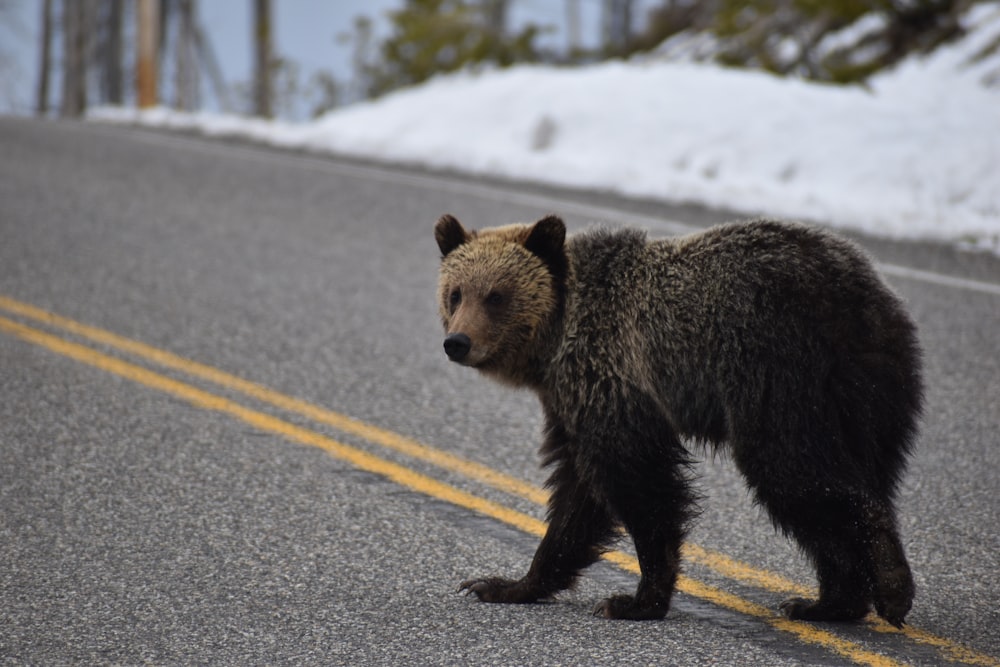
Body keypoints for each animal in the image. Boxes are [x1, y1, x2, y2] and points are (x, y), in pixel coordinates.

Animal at [434, 213, 924, 628]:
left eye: (496, 296)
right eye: (455, 292)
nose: (457, 342)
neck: (554, 340)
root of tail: (865, 293)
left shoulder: (611, 373)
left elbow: (638, 483)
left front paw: (634, 600)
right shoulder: (571, 402)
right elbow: (578, 497)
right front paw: (503, 584)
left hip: (780, 370)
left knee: (792, 469)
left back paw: (891, 587)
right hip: (868, 398)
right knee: (851, 477)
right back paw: (827, 602)